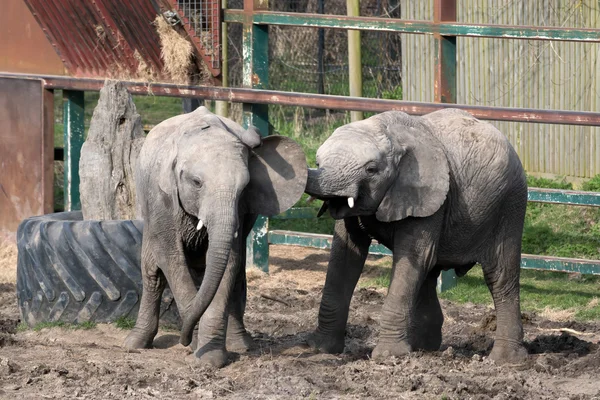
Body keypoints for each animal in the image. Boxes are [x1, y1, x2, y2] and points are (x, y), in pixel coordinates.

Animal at [124, 104, 308, 368]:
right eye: (196, 182)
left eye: (245, 187)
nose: (183, 339)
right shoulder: (160, 198)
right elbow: (172, 259)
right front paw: (196, 345)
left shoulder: (239, 210)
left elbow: (228, 263)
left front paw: (210, 357)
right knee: (153, 273)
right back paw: (136, 344)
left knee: (236, 275)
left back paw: (241, 344)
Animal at [308, 108, 528, 364]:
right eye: (318, 163)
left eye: (371, 170)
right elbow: (346, 255)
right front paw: (320, 349)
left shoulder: (429, 194)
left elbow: (413, 256)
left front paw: (388, 355)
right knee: (428, 272)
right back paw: (424, 348)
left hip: (510, 204)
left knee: (499, 276)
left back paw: (505, 360)